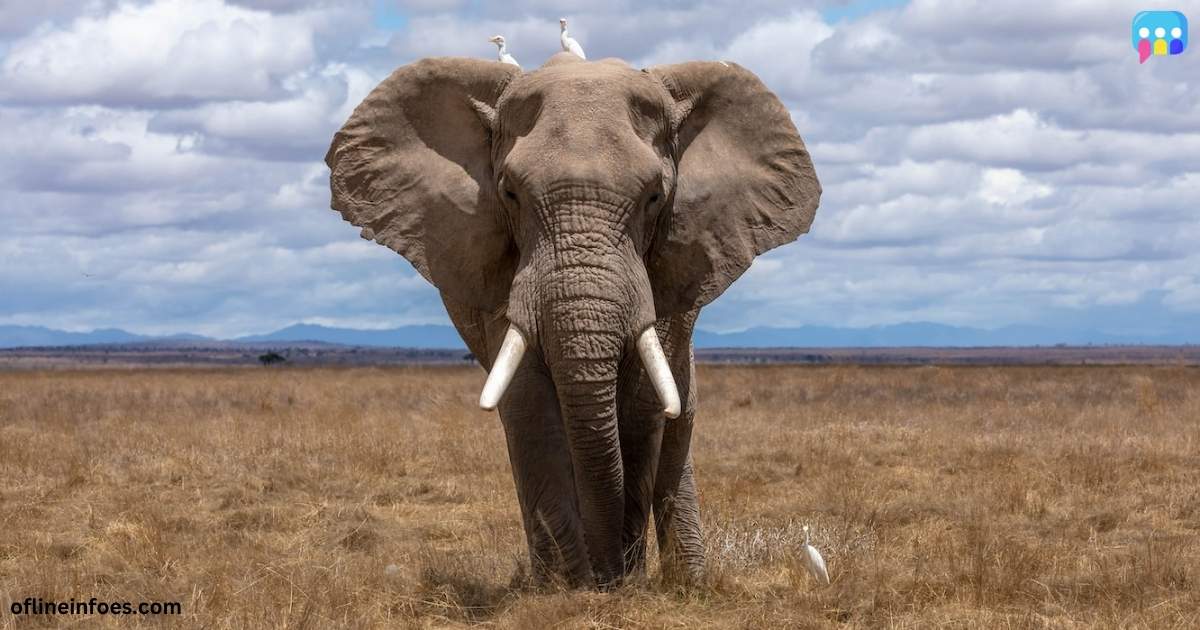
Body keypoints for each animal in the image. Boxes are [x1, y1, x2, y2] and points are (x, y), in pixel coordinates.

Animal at [324, 52, 820, 588]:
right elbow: (529, 403)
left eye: (654, 197)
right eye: (510, 194)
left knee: (678, 420)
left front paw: (621, 582)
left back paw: (689, 582)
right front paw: (567, 588)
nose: (608, 576)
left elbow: (643, 405)